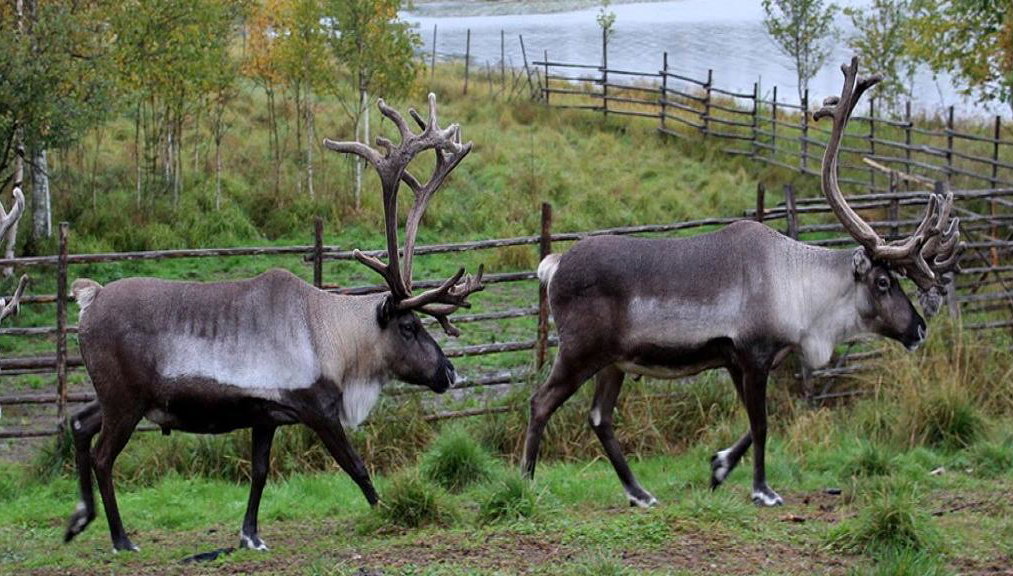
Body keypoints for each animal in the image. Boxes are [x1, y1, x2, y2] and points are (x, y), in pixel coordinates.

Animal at [63, 94, 484, 552]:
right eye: (409, 327)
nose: (449, 372)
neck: (333, 338)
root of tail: (89, 298)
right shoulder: (317, 409)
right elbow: (356, 466)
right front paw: (388, 511)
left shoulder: (265, 414)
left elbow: (260, 473)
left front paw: (250, 535)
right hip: (125, 400)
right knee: (103, 456)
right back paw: (120, 538)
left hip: (116, 397)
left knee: (79, 423)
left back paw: (79, 519)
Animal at [523, 58, 961, 508]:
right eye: (884, 281)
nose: (919, 328)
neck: (801, 292)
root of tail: (552, 265)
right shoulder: (753, 354)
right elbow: (763, 424)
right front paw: (762, 489)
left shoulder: (737, 360)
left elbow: (755, 423)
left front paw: (719, 466)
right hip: (580, 350)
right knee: (541, 402)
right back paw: (526, 481)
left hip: (614, 361)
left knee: (599, 416)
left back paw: (640, 492)